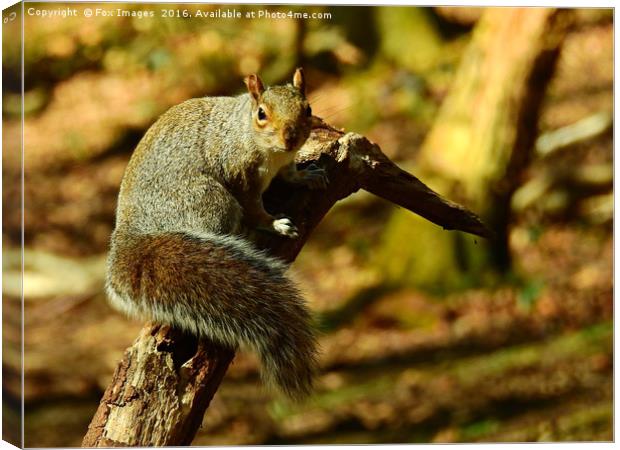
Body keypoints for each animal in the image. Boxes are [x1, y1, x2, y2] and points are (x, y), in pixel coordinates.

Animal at [105, 68, 330, 400]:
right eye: (261, 114)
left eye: (308, 109)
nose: (290, 138)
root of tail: (132, 231)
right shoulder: (241, 176)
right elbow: (255, 208)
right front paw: (275, 223)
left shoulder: (285, 163)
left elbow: (291, 174)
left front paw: (308, 175)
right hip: (210, 199)